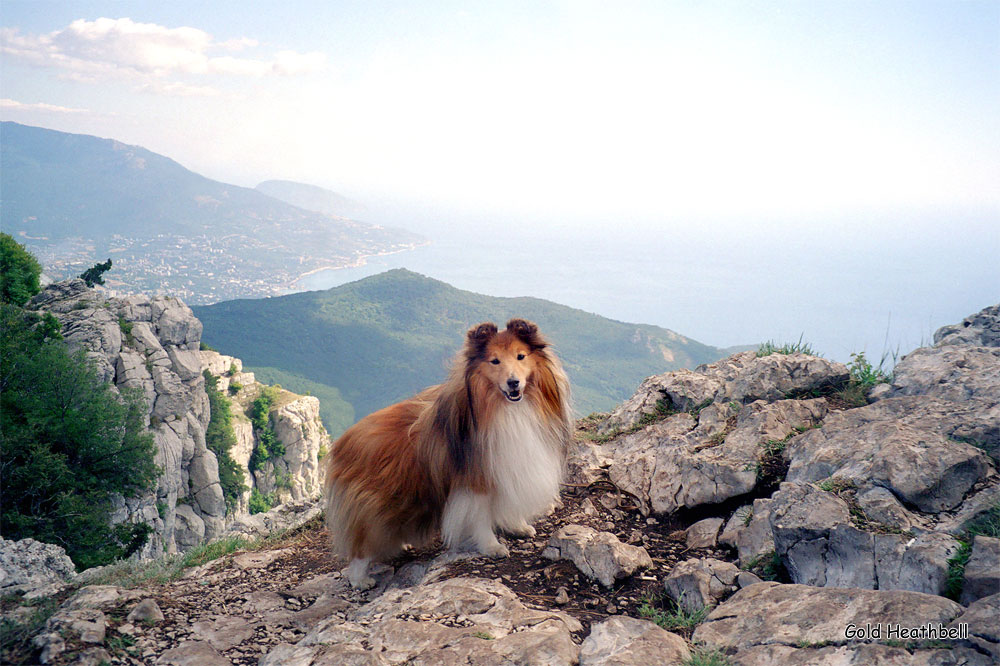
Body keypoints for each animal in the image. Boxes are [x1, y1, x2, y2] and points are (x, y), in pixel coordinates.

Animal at [322, 316, 568, 588]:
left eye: (521, 356)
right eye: (495, 361)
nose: (513, 383)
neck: (506, 409)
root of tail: (342, 442)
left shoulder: (508, 468)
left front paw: (519, 526)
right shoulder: (475, 481)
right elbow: (481, 517)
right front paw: (492, 546)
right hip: (373, 506)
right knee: (360, 547)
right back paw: (360, 579)